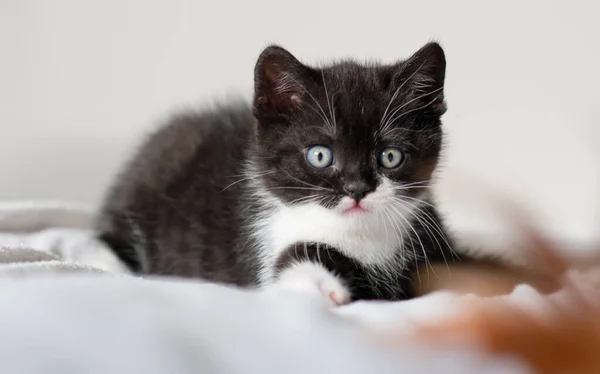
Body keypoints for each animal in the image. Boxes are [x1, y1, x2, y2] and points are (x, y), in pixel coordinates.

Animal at [96, 42, 458, 306]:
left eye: (390, 157)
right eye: (320, 155)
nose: (357, 188)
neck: (355, 236)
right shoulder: (268, 236)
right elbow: (290, 261)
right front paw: (320, 282)